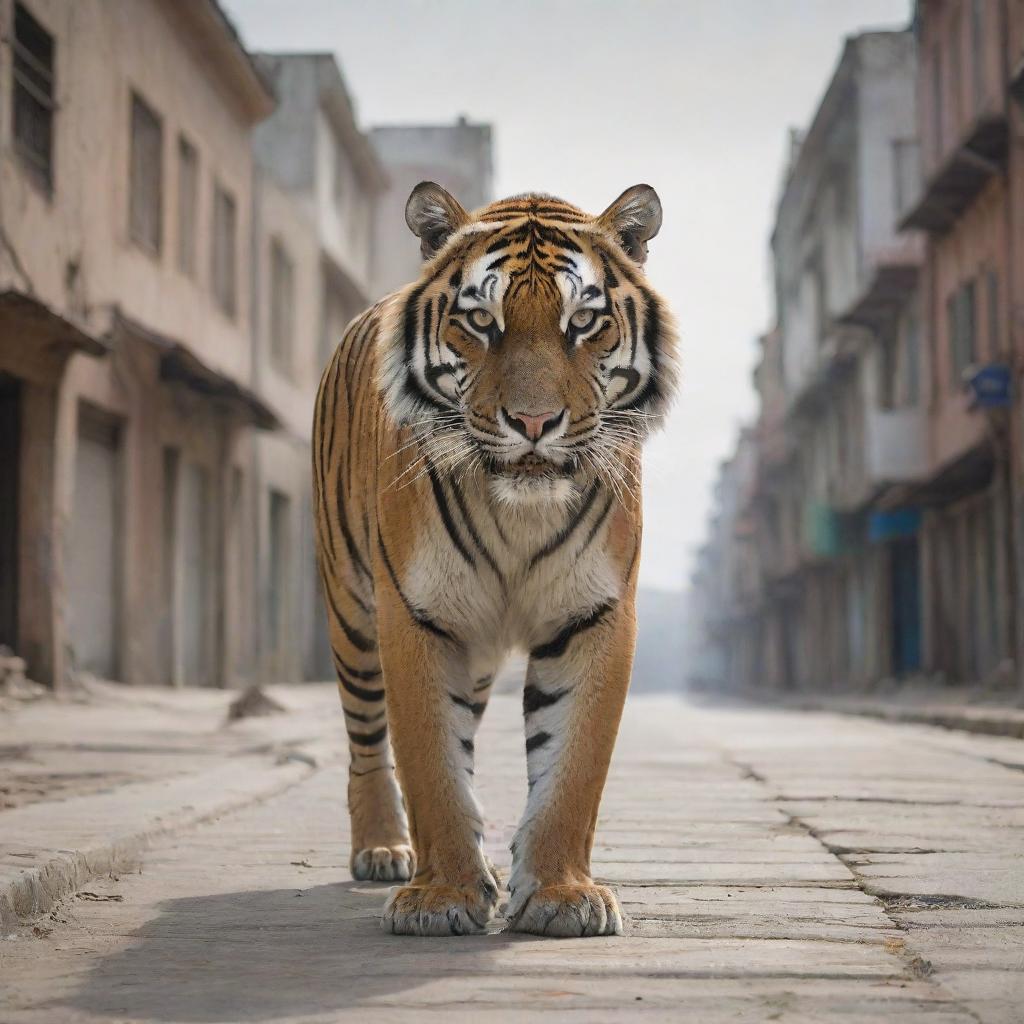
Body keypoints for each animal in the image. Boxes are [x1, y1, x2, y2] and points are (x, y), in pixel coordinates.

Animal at [311, 182, 679, 937]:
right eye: (482, 321)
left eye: (583, 322)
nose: (533, 422)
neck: (520, 514)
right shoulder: (413, 615)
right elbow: (429, 762)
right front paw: (442, 895)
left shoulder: (595, 613)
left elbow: (573, 766)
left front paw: (563, 894)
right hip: (353, 614)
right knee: (368, 740)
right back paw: (383, 849)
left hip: (475, 653)